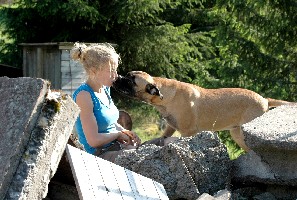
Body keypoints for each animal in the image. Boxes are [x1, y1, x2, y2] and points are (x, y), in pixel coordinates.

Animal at [112, 71, 292, 151]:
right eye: (127, 75)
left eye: (131, 80)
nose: (117, 76)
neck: (165, 96)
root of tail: (265, 100)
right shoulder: (170, 127)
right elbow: (162, 137)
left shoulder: (187, 133)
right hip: (237, 134)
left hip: (243, 134)